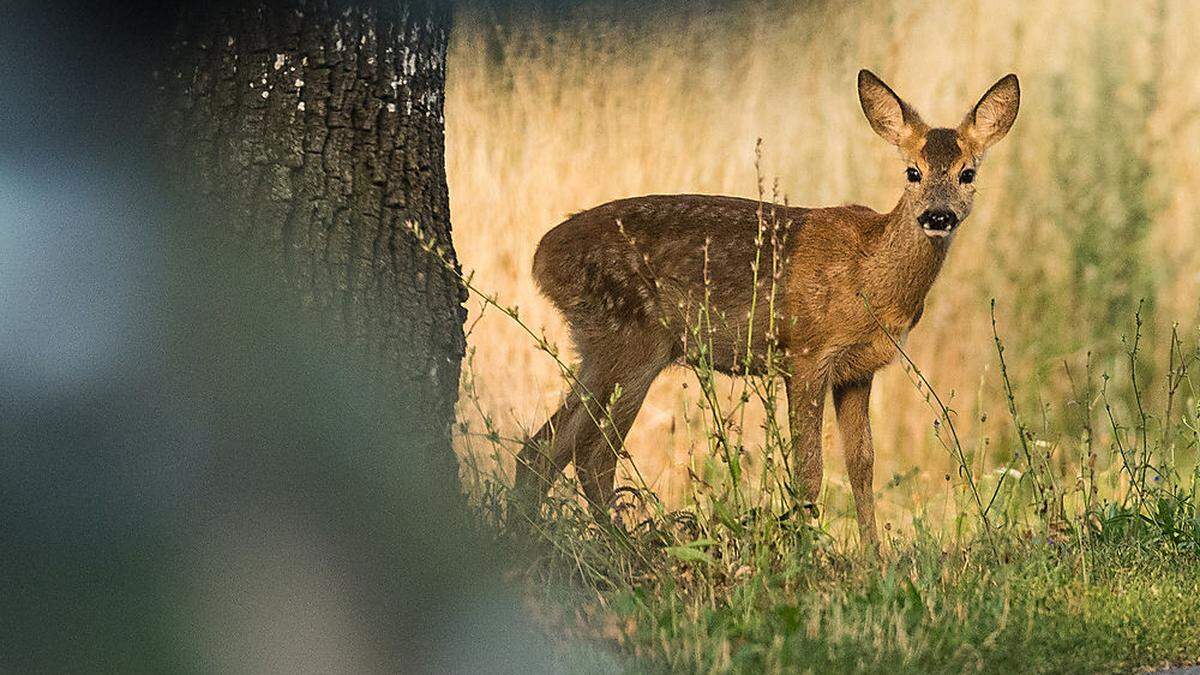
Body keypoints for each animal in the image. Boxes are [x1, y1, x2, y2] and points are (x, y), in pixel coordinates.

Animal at [511, 68, 1017, 542]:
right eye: (912, 172)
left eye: (967, 173)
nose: (937, 215)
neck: (871, 278)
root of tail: (542, 257)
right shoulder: (807, 354)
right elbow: (809, 472)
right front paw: (805, 550)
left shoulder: (857, 370)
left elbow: (862, 466)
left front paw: (873, 558)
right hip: (633, 342)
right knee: (592, 454)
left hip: (599, 347)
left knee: (543, 449)